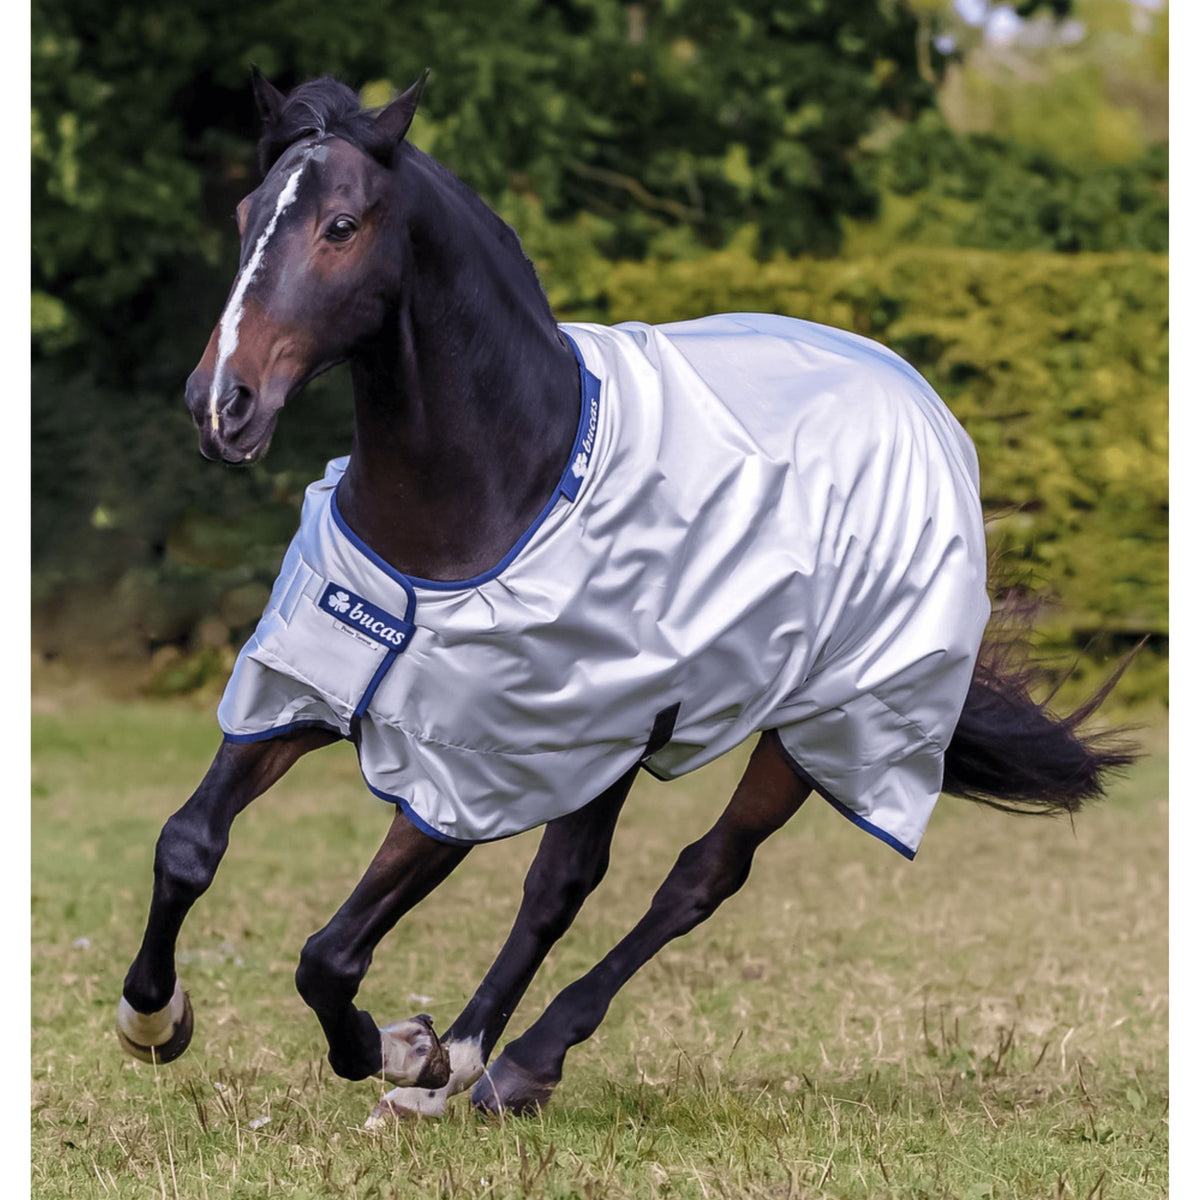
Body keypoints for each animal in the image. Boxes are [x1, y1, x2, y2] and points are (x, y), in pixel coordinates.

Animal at [117, 72, 1137, 1123]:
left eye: (342, 226)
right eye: (247, 215)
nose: (221, 404)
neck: (491, 496)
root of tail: (924, 404)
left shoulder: (463, 776)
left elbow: (330, 956)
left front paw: (406, 1050)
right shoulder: (308, 691)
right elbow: (187, 843)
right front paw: (155, 1020)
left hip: (819, 731)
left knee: (697, 877)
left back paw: (508, 1062)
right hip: (610, 742)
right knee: (563, 885)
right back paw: (475, 1070)